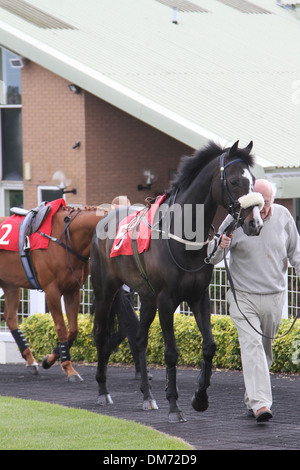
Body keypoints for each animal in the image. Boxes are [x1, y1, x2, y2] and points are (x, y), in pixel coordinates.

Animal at [0, 201, 103, 382]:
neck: (65, 238)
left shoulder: (72, 290)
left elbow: (73, 330)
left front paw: (49, 359)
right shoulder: (52, 291)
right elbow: (62, 328)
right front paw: (69, 369)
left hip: (10, 284)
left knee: (10, 317)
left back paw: (30, 360)